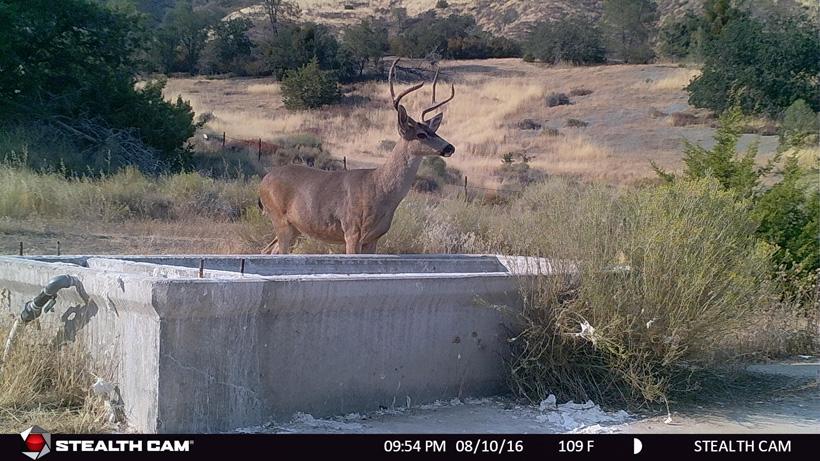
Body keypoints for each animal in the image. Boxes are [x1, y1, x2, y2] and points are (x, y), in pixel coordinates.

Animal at [258, 58, 456, 254]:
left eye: (434, 131)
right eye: (421, 134)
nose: (450, 147)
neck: (379, 188)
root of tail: (263, 182)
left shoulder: (374, 238)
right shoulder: (352, 229)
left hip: (296, 227)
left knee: (267, 249)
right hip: (280, 219)